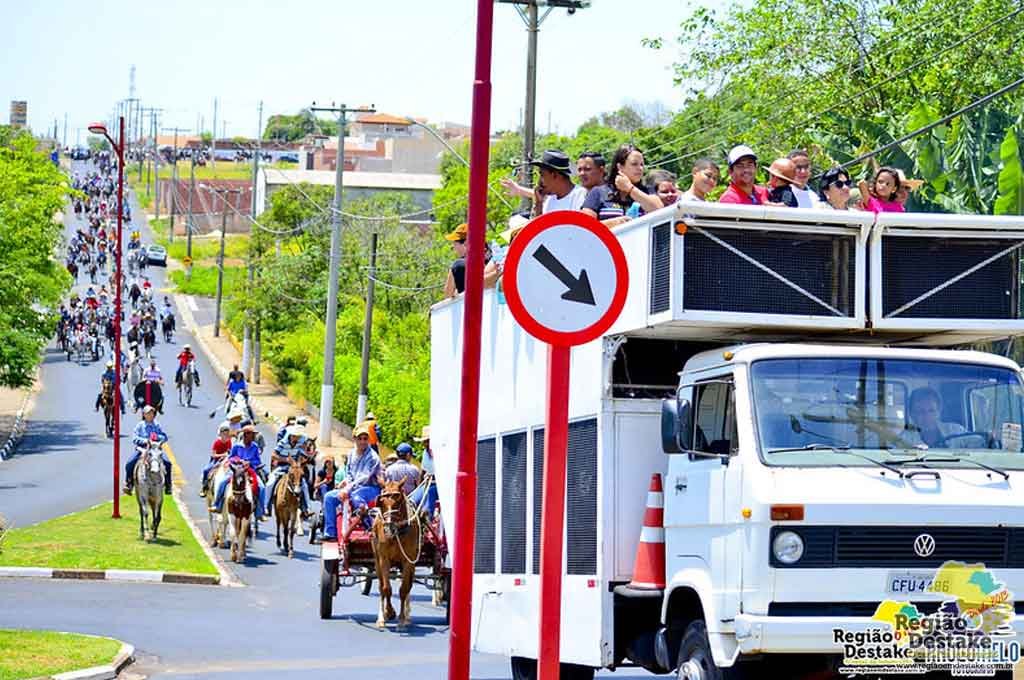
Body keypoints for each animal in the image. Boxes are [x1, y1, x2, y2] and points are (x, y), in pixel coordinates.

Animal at [370, 481, 421, 630]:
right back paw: (384, 614)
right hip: (377, 562)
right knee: (381, 586)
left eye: (398, 502)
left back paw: (407, 615)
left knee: (409, 586)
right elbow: (386, 588)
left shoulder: (408, 561)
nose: (388, 528)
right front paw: (387, 614)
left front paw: (402, 619)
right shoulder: (383, 559)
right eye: (381, 502)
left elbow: (404, 589)